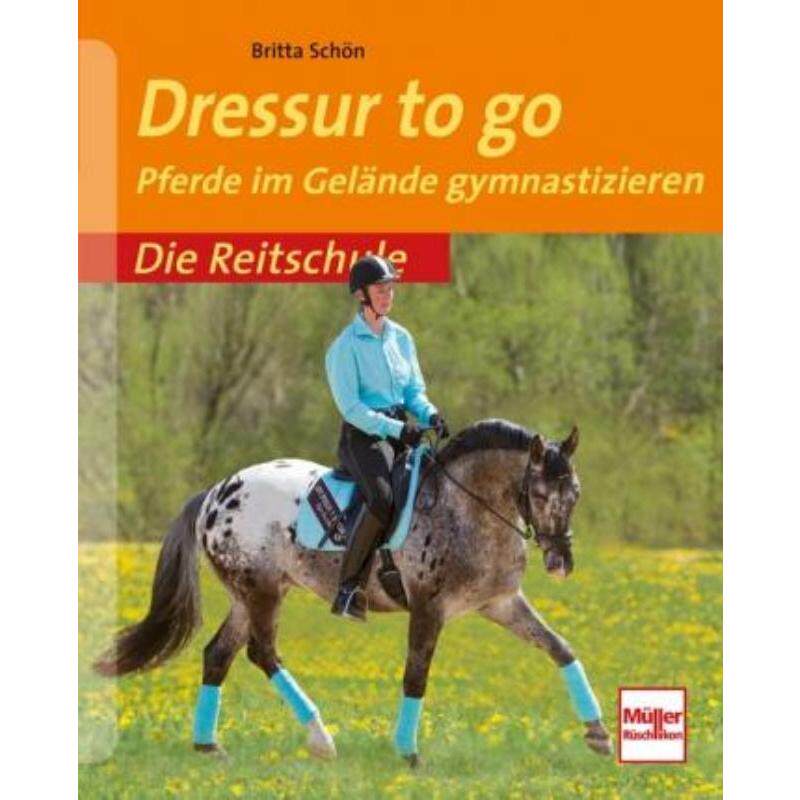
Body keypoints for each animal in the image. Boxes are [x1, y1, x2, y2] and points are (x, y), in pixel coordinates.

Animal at [95, 418, 613, 765]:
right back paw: (321, 738)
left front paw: (598, 734)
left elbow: (561, 649)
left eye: (576, 494)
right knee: (262, 653)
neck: (466, 508)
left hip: (251, 594)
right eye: (540, 495)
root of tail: (216, 492)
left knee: (218, 654)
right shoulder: (429, 609)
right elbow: (416, 676)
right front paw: (407, 752)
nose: (560, 562)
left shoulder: (499, 603)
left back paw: (208, 745)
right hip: (261, 591)